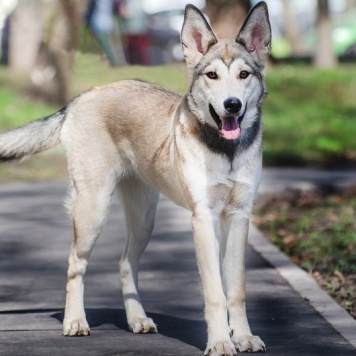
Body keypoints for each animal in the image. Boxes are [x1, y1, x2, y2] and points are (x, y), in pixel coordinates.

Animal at [0, 2, 272, 354]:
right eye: (212, 75)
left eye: (244, 74)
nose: (232, 106)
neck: (225, 151)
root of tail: (86, 94)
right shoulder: (203, 219)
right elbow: (214, 292)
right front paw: (220, 342)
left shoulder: (238, 217)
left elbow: (235, 290)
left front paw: (243, 337)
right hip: (93, 209)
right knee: (75, 263)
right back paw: (75, 321)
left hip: (144, 218)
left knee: (125, 262)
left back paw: (137, 319)